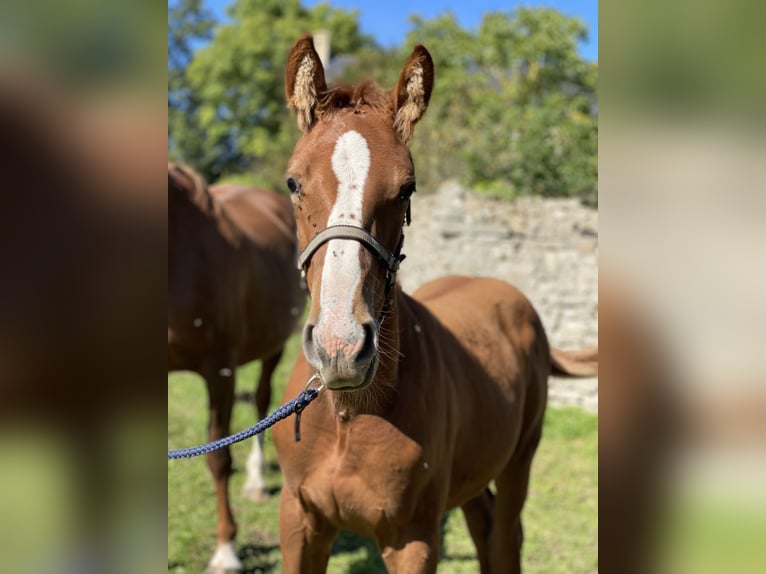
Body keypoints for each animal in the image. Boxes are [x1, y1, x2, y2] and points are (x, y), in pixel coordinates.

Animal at [169, 164, 306, 572]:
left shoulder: (220, 371)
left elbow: (219, 457)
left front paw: (226, 551)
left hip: (274, 343)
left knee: (262, 402)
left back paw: (256, 480)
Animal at [272, 37, 600, 574]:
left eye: (406, 187)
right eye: (292, 183)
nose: (341, 348)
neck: (346, 418)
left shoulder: (414, 539)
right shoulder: (300, 524)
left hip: (520, 459)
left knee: (505, 537)